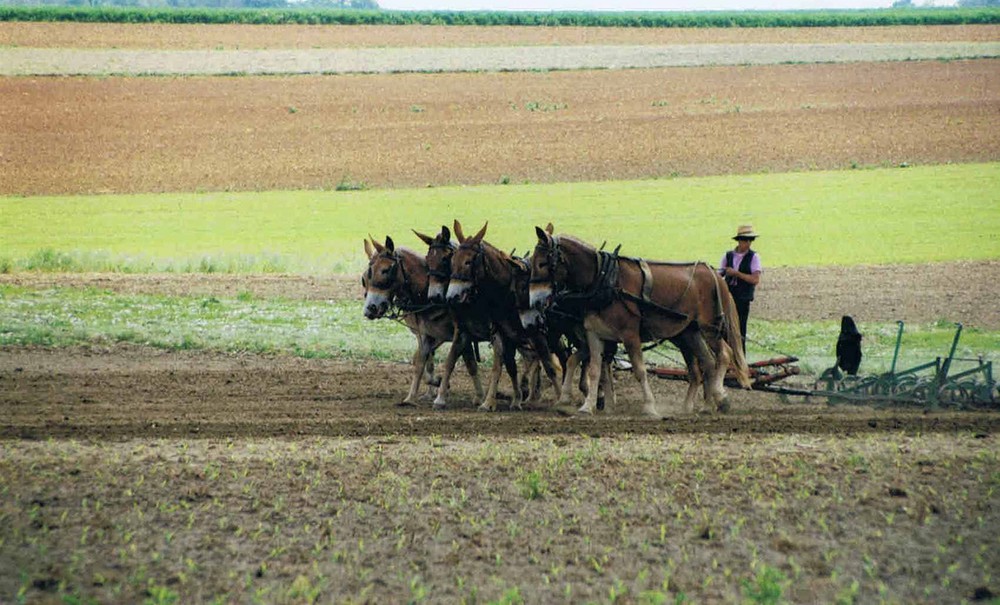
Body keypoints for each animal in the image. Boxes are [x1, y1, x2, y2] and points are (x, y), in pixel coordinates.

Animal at [364, 236, 484, 406]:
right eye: (365, 277)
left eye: (385, 270)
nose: (370, 309)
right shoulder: (425, 333)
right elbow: (421, 359)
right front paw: (427, 390)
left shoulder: (456, 334)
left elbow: (468, 363)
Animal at [528, 224, 748, 418]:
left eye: (541, 263)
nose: (533, 300)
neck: (604, 280)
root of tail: (713, 273)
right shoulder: (595, 335)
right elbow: (594, 370)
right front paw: (586, 407)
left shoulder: (629, 335)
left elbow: (640, 371)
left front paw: (649, 407)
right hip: (689, 332)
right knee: (707, 363)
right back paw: (705, 406)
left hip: (709, 327)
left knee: (724, 355)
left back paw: (721, 397)